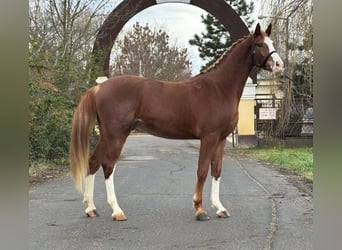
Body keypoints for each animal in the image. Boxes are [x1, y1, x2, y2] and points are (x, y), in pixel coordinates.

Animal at [69, 23, 284, 221]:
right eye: (259, 44)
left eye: (272, 42)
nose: (279, 65)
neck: (219, 88)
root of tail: (99, 88)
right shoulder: (209, 137)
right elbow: (202, 171)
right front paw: (200, 209)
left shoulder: (221, 139)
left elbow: (217, 171)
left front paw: (220, 208)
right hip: (117, 136)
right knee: (108, 166)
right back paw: (117, 211)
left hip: (106, 135)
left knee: (93, 163)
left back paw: (91, 208)